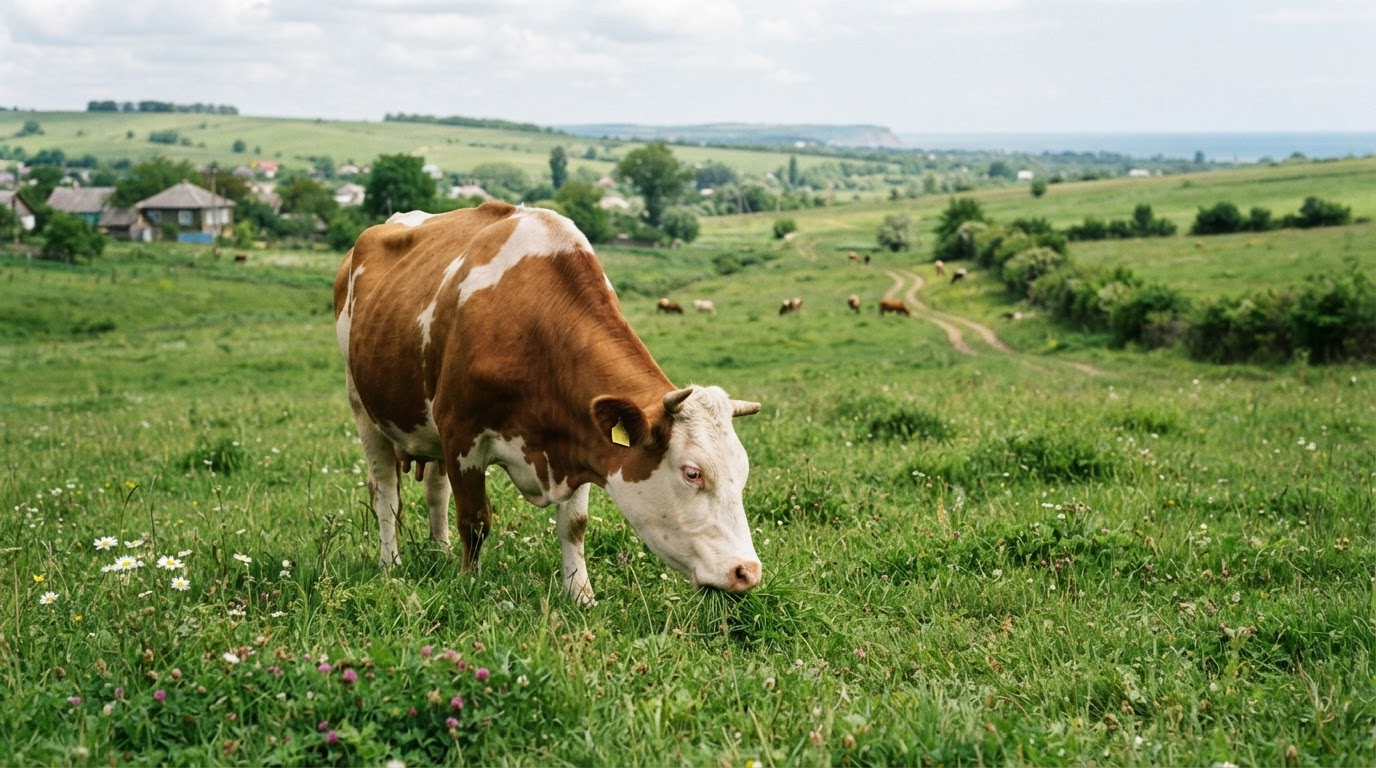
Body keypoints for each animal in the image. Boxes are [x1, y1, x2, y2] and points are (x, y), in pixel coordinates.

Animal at [334, 202, 763, 605]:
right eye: (692, 473)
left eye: (742, 472)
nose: (747, 571)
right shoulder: (460, 435)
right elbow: (474, 520)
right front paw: (468, 583)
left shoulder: (582, 440)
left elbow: (574, 524)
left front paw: (580, 594)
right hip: (364, 410)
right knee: (385, 491)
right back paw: (390, 563)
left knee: (436, 490)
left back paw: (440, 552)